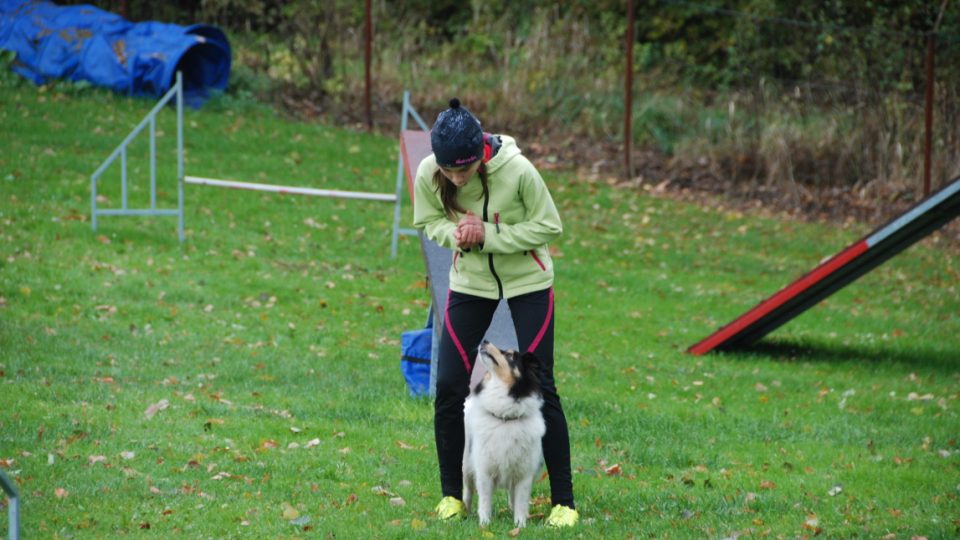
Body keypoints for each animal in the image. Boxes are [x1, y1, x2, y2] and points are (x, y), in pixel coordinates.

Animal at [462, 342, 544, 528]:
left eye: (511, 355)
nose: (484, 341)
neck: (505, 417)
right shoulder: (484, 471)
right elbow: (484, 501)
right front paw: (485, 524)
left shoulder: (524, 474)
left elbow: (520, 502)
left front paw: (520, 525)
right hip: (467, 464)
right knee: (467, 492)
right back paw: (464, 513)